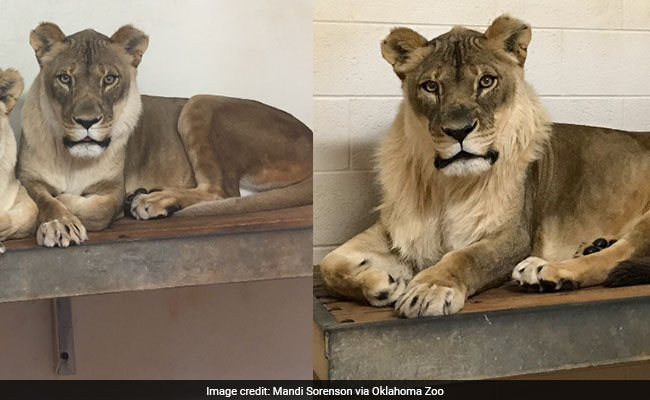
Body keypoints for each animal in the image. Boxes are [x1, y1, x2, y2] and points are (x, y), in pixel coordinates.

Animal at [318, 14, 648, 318]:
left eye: (486, 81)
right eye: (430, 86)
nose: (459, 130)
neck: (446, 186)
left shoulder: (512, 237)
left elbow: (464, 258)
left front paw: (430, 289)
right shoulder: (398, 230)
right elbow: (328, 264)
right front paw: (380, 283)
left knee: (617, 257)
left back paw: (545, 273)